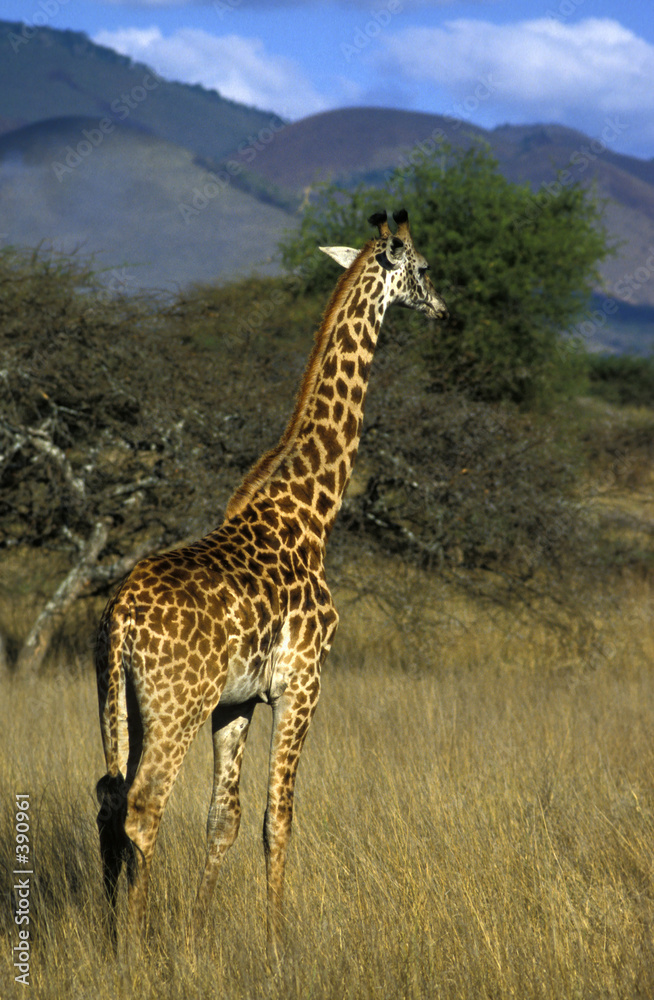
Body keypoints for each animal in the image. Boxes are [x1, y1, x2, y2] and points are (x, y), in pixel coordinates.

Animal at [95, 209, 448, 960]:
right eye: (426, 268)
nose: (443, 308)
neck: (310, 515)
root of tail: (118, 618)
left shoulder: (237, 702)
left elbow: (222, 817)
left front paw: (198, 935)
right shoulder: (303, 684)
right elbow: (276, 816)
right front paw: (277, 942)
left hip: (119, 699)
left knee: (109, 798)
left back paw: (110, 932)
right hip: (174, 705)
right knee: (143, 807)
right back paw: (134, 946)